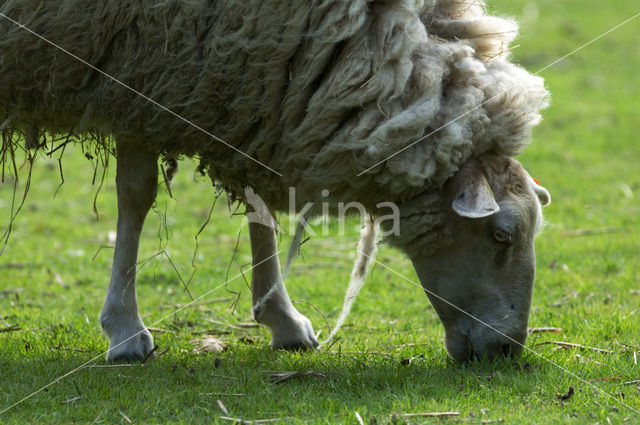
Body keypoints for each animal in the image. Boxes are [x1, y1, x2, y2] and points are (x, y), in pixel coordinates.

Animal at [0, 0, 552, 362]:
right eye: (500, 234)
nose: (508, 350)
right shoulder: (137, 74)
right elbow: (136, 196)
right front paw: (124, 329)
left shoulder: (250, 81)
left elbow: (259, 201)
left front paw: (282, 319)